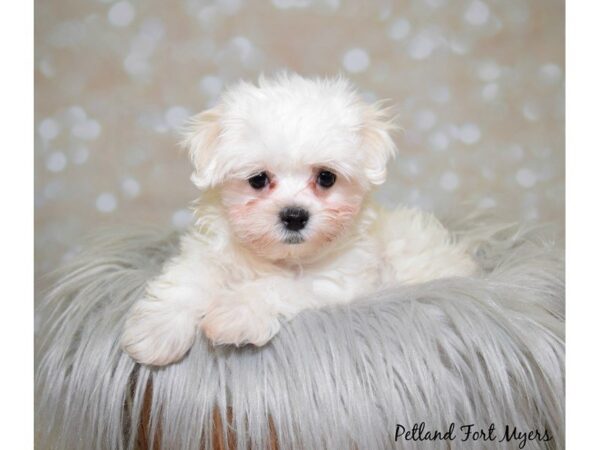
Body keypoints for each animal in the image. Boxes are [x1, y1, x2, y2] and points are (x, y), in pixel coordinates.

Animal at [120, 73, 478, 366]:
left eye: (326, 177)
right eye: (258, 179)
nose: (294, 216)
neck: (278, 258)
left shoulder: (334, 281)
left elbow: (278, 287)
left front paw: (235, 313)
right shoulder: (208, 252)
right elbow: (188, 280)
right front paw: (157, 330)